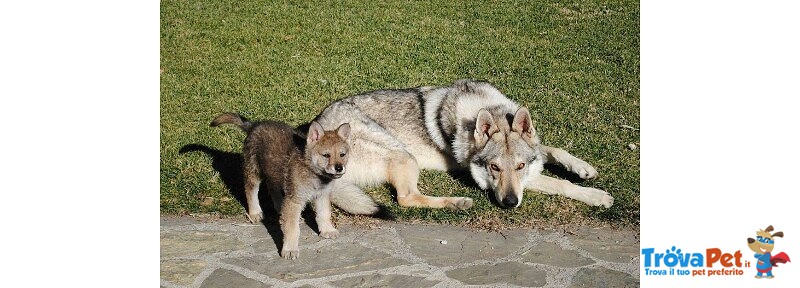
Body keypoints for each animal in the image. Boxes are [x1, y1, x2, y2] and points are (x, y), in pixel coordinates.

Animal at [212, 112, 350, 258]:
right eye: (326, 155)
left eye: (342, 154)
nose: (339, 168)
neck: (313, 173)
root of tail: (254, 125)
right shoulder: (294, 200)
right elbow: (292, 229)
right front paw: (290, 249)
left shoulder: (322, 196)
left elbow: (324, 214)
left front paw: (327, 230)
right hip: (254, 171)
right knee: (250, 190)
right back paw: (255, 212)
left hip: (273, 172)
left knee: (272, 187)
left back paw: (279, 208)